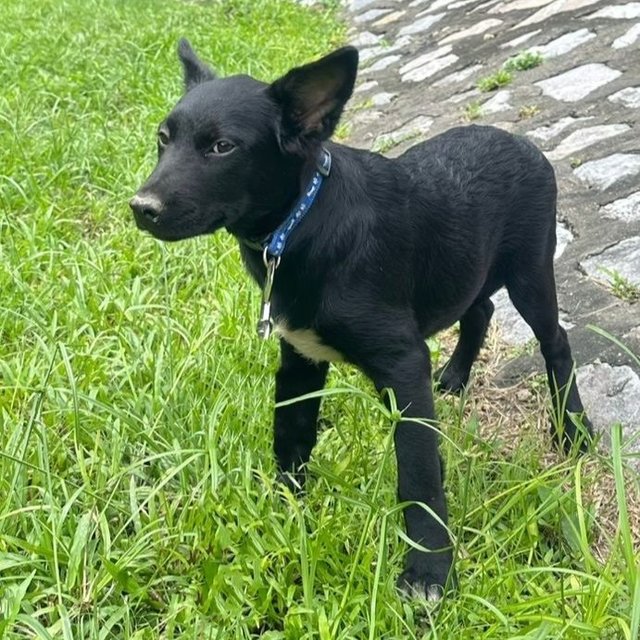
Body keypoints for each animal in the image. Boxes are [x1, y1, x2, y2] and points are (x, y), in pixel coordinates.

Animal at [130, 42, 596, 596]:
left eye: (222, 147)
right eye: (163, 139)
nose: (141, 208)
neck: (303, 222)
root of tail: (523, 142)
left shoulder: (402, 362)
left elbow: (418, 473)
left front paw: (428, 570)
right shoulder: (299, 359)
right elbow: (291, 435)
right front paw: (285, 509)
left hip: (529, 271)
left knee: (556, 341)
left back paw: (574, 431)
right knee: (479, 309)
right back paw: (456, 377)